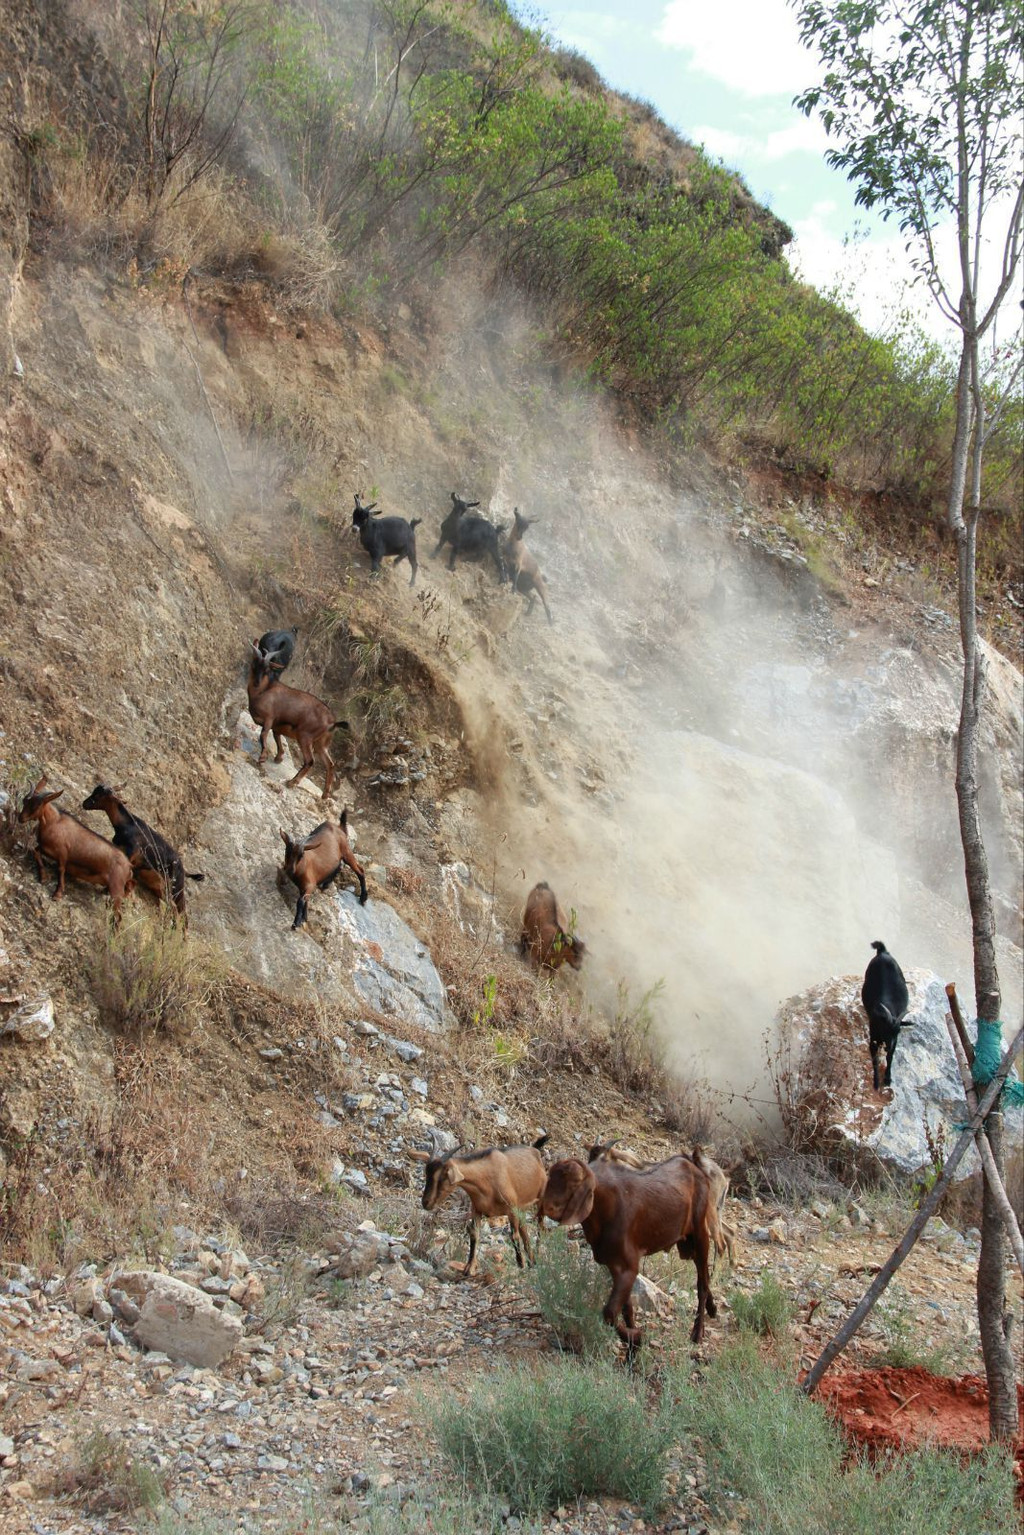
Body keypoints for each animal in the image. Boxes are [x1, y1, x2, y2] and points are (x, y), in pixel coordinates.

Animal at [19, 773, 135, 914]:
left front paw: (57, 894)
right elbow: (35, 851)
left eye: (36, 806)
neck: (53, 822)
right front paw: (44, 877)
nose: (20, 818)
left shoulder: (63, 853)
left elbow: (61, 869)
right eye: (24, 801)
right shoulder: (44, 847)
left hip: (116, 888)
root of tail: (129, 866)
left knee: (118, 914)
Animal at [245, 638, 350, 804]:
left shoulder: (269, 718)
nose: (256, 682)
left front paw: (262, 758)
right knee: (330, 764)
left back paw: (292, 782)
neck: (264, 690)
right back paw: (325, 794)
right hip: (321, 744)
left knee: (310, 761)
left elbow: (263, 735)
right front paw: (279, 757)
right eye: (255, 662)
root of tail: (332, 723)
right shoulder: (277, 725)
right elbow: (276, 736)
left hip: (305, 737)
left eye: (267, 668)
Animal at [411, 1135, 552, 1277]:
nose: (426, 1203)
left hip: (539, 1201)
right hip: (521, 1209)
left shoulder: (511, 1209)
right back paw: (532, 1261)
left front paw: (520, 1265)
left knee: (539, 1228)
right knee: (524, 1230)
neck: (485, 1178)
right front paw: (469, 1268)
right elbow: (474, 1234)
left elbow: (514, 1235)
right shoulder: (477, 1209)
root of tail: (535, 1151)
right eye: (427, 1173)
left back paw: (536, 1256)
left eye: (442, 1177)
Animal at [859, 933, 914, 1092]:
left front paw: (888, 1079)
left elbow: (890, 1057)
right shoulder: (873, 1038)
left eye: (898, 1032)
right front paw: (876, 1083)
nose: (888, 1045)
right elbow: (875, 1059)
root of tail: (882, 952)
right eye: (886, 1030)